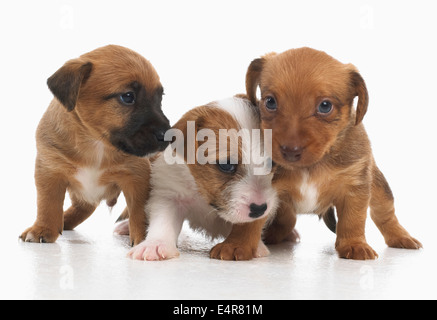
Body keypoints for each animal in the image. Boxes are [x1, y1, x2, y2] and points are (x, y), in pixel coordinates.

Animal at [21, 44, 169, 245]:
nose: (168, 134)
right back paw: (64, 220)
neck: (96, 143)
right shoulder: (49, 169)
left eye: (160, 98)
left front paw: (145, 239)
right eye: (128, 97)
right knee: (83, 206)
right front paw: (43, 228)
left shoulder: (137, 175)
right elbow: (47, 203)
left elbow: (140, 211)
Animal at [127, 97, 276, 260]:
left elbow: (249, 224)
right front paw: (155, 244)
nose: (260, 209)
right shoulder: (169, 195)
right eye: (226, 165)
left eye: (271, 162)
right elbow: (163, 221)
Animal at [240, 48, 420, 260]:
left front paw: (354, 245)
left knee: (385, 214)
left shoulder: (354, 187)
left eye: (325, 106)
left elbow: (352, 221)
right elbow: (250, 221)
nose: (290, 150)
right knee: (287, 222)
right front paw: (237, 246)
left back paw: (401, 237)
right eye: (270, 102)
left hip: (379, 188)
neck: (311, 167)